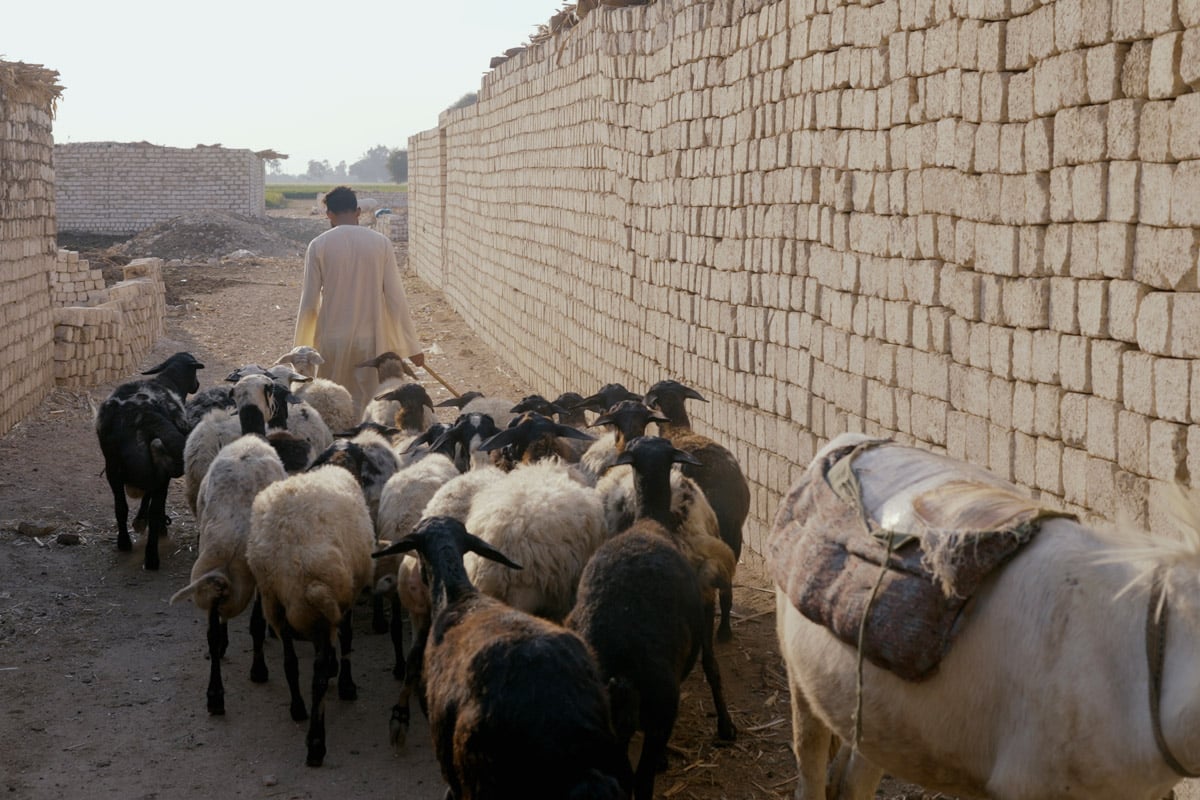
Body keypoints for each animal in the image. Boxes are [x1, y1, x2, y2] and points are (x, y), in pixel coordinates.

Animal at [244, 465, 372, 767]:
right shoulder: (342, 604)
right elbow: (346, 640)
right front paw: (347, 685)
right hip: (320, 611)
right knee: (319, 678)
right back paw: (316, 743)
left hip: (276, 603)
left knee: (290, 663)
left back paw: (298, 708)